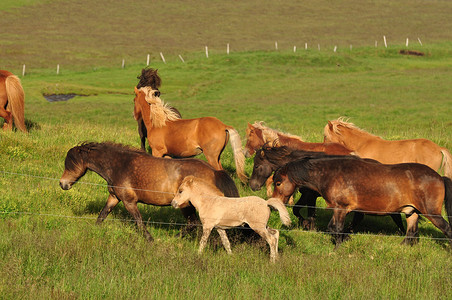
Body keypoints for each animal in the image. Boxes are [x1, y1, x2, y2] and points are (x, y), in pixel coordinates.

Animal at [59, 142, 240, 243]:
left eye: (70, 164)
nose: (62, 184)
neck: (120, 165)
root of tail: (214, 171)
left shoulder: (129, 201)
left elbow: (139, 222)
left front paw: (151, 240)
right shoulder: (114, 198)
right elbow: (102, 215)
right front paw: (93, 230)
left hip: (186, 205)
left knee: (193, 224)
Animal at [251, 145, 406, 232]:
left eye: (257, 166)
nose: (253, 185)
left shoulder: (310, 196)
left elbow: (305, 211)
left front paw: (308, 225)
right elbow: (300, 209)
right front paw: (306, 224)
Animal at [272, 157, 452, 248]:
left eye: (278, 183)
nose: (274, 205)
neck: (332, 174)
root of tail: (439, 177)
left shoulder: (341, 209)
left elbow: (335, 229)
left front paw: (338, 248)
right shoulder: (340, 210)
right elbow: (334, 229)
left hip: (432, 214)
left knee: (446, 230)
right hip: (411, 211)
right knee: (411, 233)